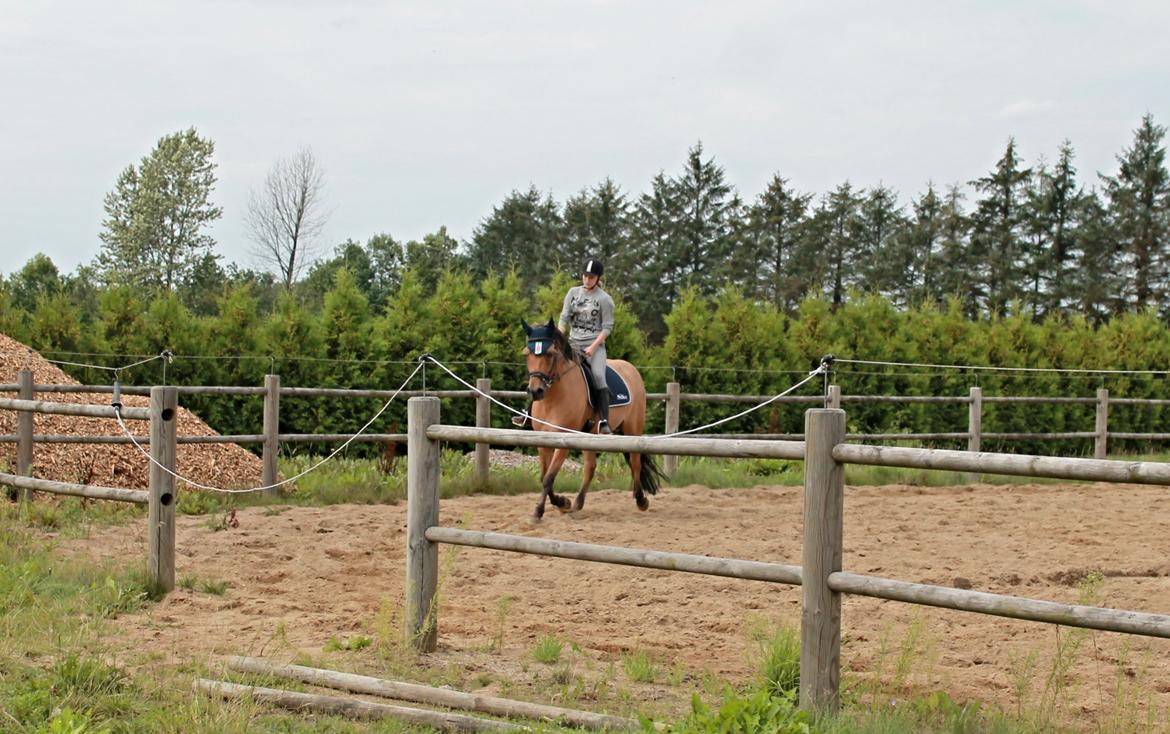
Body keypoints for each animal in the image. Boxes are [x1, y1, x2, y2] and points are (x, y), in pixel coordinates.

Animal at [519, 318, 659, 519]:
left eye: (551, 353)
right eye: (527, 354)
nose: (535, 391)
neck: (553, 398)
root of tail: (631, 369)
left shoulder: (564, 441)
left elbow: (549, 477)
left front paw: (539, 511)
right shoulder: (543, 443)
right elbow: (544, 477)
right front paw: (563, 502)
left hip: (632, 429)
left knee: (635, 462)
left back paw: (641, 501)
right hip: (589, 434)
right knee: (590, 467)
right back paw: (577, 503)